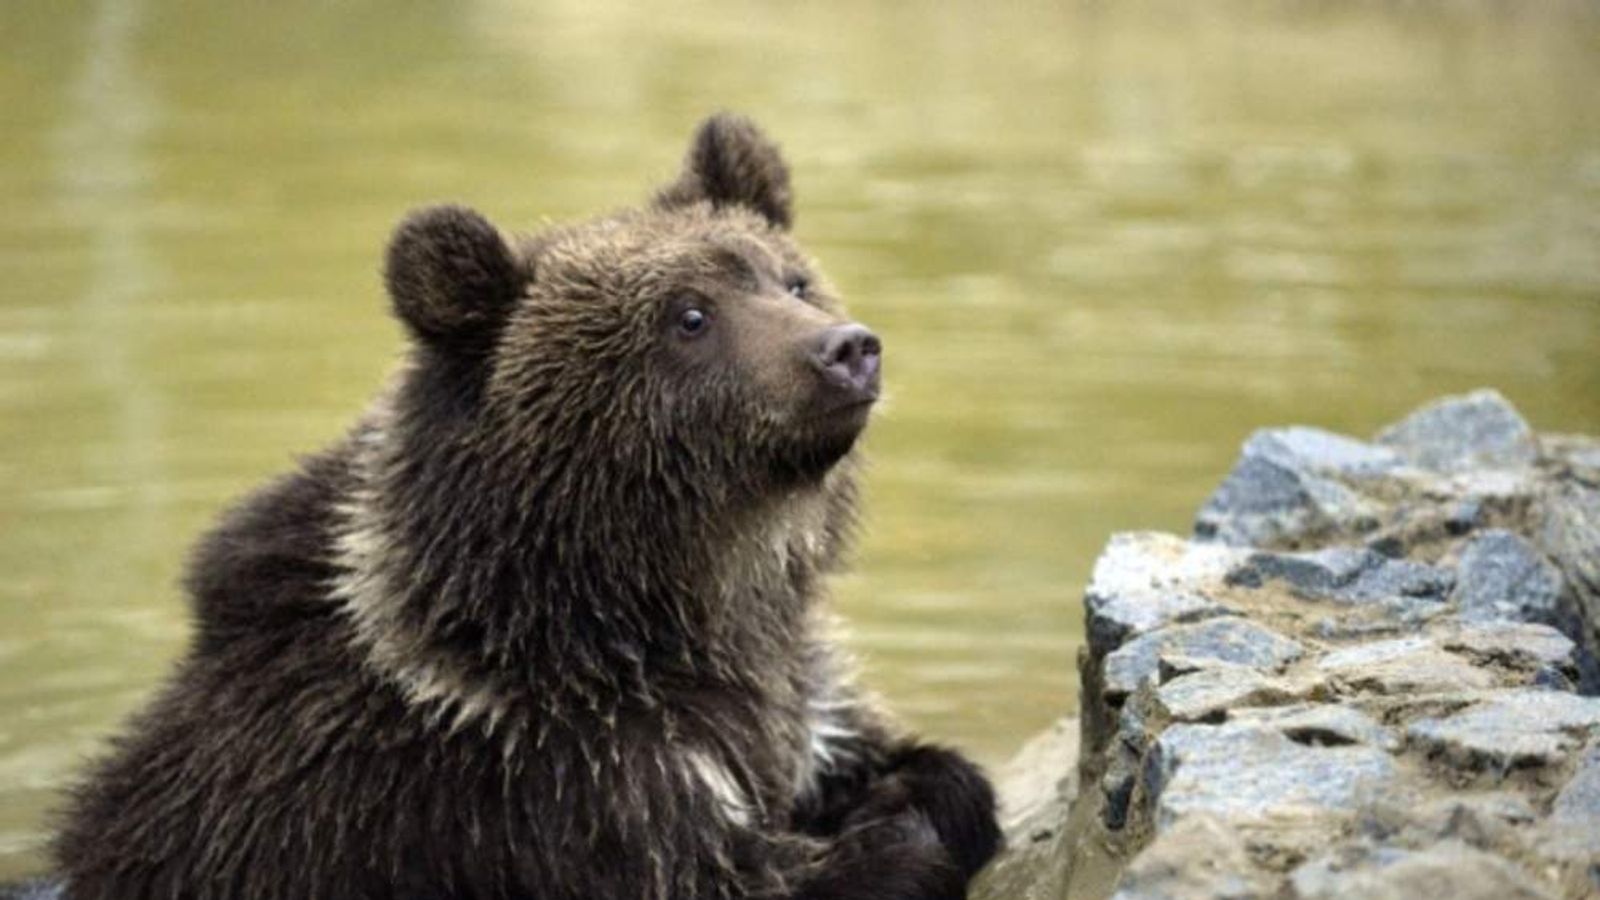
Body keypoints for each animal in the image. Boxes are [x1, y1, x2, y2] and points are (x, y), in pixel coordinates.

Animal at [43, 113, 992, 896]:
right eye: (689, 316)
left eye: (791, 281)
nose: (845, 349)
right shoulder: (541, 782)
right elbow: (740, 876)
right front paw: (903, 835)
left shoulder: (791, 701)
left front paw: (932, 787)